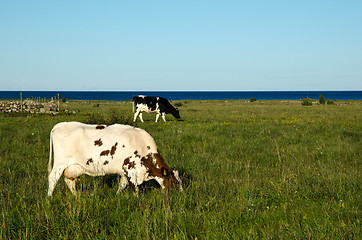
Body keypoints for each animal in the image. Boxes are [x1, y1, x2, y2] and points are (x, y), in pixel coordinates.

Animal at [47, 121, 184, 196]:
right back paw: (49, 198)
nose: (181, 195)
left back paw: (76, 197)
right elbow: (135, 189)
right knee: (53, 178)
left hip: (73, 166)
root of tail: (59, 125)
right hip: (60, 163)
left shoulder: (124, 171)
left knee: (69, 181)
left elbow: (122, 185)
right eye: (174, 182)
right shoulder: (130, 169)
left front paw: (117, 195)